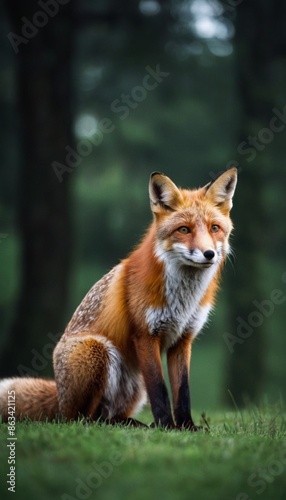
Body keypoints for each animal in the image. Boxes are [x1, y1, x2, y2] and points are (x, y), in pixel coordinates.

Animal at [0, 170, 237, 428]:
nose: (209, 254)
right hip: (97, 351)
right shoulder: (145, 335)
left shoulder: (183, 339)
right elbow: (159, 388)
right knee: (82, 419)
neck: (183, 299)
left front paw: (187, 427)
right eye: (184, 230)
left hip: (134, 385)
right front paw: (165, 426)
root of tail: (60, 399)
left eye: (214, 228)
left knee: (108, 415)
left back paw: (132, 423)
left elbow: (182, 391)